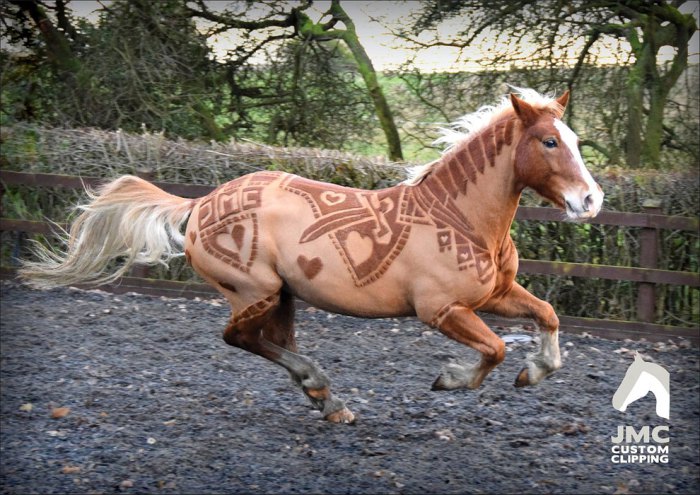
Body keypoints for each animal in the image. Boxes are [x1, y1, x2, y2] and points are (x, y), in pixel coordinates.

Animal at [20, 88, 604, 423]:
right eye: (549, 142)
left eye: (574, 138)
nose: (590, 201)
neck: (460, 217)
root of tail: (201, 202)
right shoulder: (441, 310)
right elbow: (495, 350)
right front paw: (451, 379)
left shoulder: (497, 294)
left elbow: (548, 316)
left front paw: (535, 372)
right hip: (254, 291)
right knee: (240, 338)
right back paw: (321, 387)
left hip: (283, 295)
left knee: (271, 342)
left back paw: (327, 400)